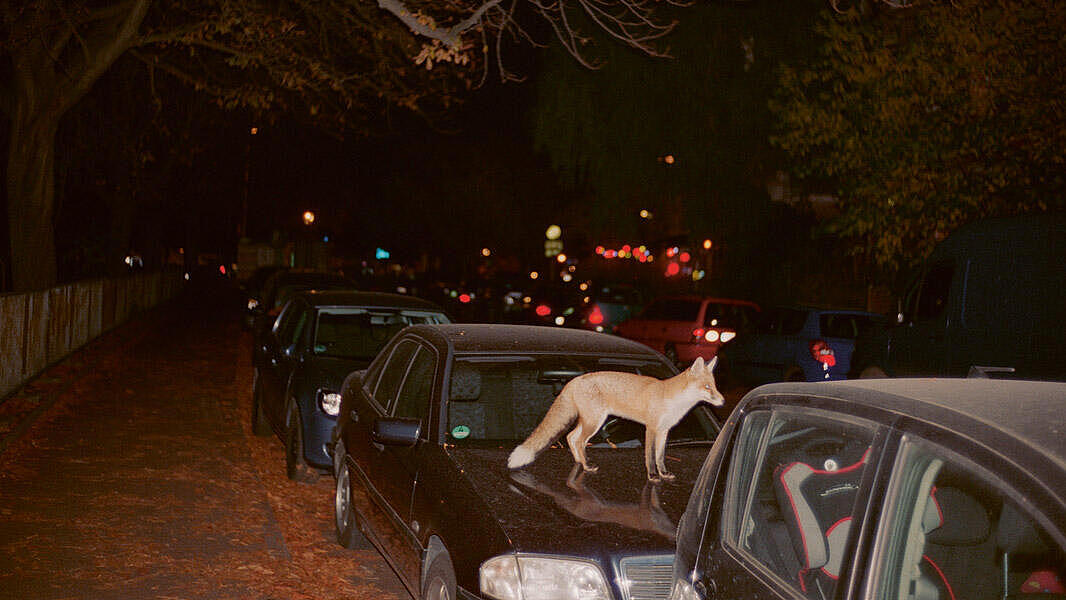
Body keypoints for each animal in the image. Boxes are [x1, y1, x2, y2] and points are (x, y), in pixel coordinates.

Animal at [507, 355, 724, 483]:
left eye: (714, 385)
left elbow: (660, 456)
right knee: (578, 440)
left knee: (570, 437)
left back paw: (579, 462)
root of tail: (574, 380)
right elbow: (650, 457)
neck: (673, 400)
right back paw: (586, 466)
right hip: (594, 422)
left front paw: (664, 474)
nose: (722, 401)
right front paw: (653, 476)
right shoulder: (651, 428)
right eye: (707, 387)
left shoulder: (664, 431)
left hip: (590, 421)